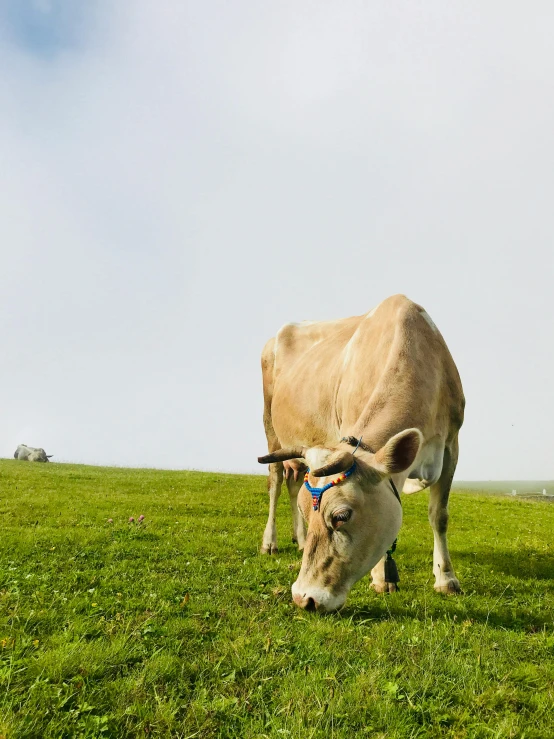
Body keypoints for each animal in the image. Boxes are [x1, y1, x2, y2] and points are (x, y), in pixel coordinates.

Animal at [258, 294, 462, 612]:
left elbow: (439, 515)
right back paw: (270, 542)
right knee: (275, 482)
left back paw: (301, 540)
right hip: (270, 428)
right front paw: (381, 579)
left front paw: (447, 579)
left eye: (342, 516)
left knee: (293, 482)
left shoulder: (452, 444)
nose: (303, 598)